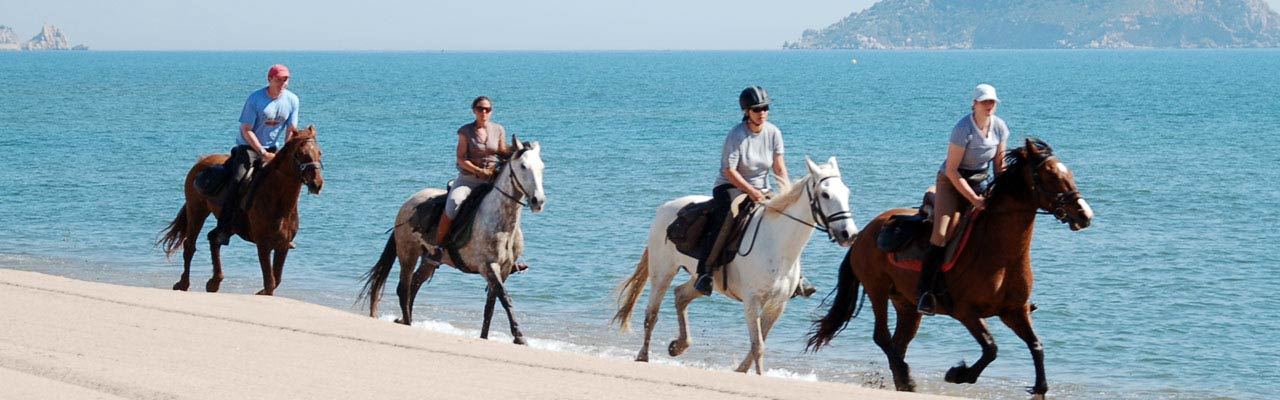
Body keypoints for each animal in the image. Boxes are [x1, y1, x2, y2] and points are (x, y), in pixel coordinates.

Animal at [158, 126, 325, 294]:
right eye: (299, 154)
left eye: (319, 153)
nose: (316, 184)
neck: (278, 202)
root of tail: (201, 161)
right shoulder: (263, 245)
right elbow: (269, 282)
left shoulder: (282, 246)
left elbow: (276, 280)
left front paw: (260, 293)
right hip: (197, 210)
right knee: (190, 246)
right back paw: (183, 284)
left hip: (230, 224)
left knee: (213, 238)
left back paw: (214, 282)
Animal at [358, 137, 547, 343]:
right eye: (523, 166)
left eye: (542, 167)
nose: (538, 201)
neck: (501, 222)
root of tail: (408, 202)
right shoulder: (488, 267)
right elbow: (505, 298)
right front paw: (519, 336)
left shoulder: (503, 270)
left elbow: (490, 307)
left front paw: (484, 337)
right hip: (408, 253)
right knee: (404, 288)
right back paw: (407, 321)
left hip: (428, 261)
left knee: (414, 284)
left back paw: (406, 320)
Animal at [611, 155, 855, 371]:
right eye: (825, 194)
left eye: (846, 192)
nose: (849, 234)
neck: (776, 244)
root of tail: (667, 207)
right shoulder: (752, 301)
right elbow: (758, 346)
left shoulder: (777, 305)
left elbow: (759, 343)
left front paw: (742, 371)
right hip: (662, 271)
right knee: (651, 313)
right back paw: (643, 356)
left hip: (701, 278)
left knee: (681, 295)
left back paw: (678, 346)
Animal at [808, 136, 1090, 397]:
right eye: (1051, 175)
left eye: (1069, 173)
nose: (1084, 214)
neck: (1002, 255)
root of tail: (862, 234)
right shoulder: (966, 312)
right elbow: (991, 348)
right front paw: (958, 374)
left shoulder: (1015, 311)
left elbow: (1036, 346)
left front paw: (1040, 388)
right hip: (877, 290)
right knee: (882, 337)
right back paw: (906, 375)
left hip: (907, 304)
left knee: (898, 343)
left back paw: (903, 380)